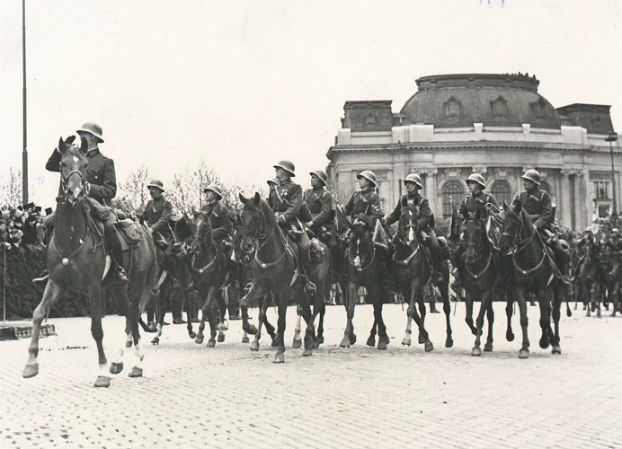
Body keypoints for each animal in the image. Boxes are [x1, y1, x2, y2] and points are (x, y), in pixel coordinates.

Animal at [23, 136, 161, 384]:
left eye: (86, 166)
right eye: (62, 164)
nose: (76, 192)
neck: (71, 237)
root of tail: (144, 232)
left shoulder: (93, 287)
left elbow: (97, 328)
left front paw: (101, 371)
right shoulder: (56, 282)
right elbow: (38, 314)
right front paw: (31, 364)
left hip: (136, 284)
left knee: (134, 314)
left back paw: (134, 363)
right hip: (117, 287)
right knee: (129, 313)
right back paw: (121, 363)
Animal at [338, 214, 388, 350]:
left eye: (365, 241)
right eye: (351, 240)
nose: (356, 263)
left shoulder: (374, 285)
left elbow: (377, 310)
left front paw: (382, 339)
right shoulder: (352, 283)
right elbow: (350, 309)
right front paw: (346, 338)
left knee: (378, 309)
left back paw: (376, 336)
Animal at [502, 200, 564, 356]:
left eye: (516, 221)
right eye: (503, 221)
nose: (503, 247)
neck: (528, 257)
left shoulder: (542, 290)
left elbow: (544, 319)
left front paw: (545, 341)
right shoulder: (520, 290)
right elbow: (524, 319)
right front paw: (524, 347)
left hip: (558, 288)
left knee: (555, 314)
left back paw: (556, 343)